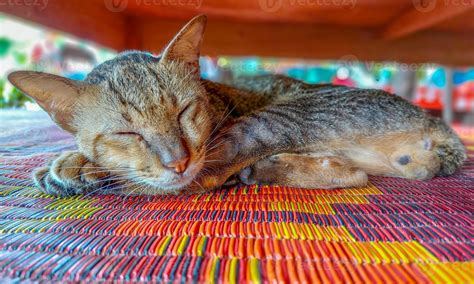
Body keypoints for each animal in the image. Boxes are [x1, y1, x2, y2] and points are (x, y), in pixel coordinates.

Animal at [7, 15, 466, 195]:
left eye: (183, 112)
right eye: (127, 132)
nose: (176, 160)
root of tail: (438, 127)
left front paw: (76, 163)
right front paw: (77, 159)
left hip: (280, 116)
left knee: (202, 177)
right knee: (350, 173)